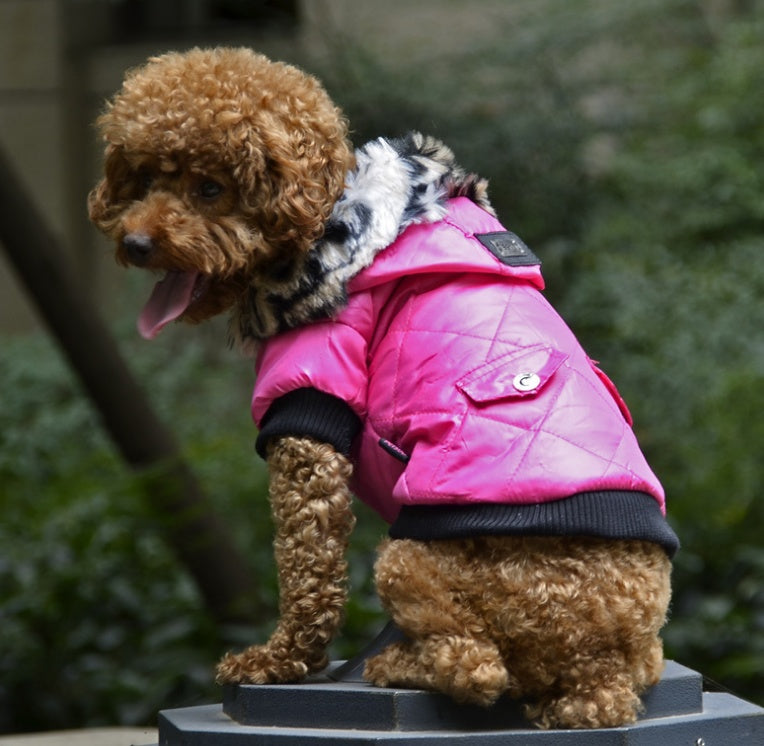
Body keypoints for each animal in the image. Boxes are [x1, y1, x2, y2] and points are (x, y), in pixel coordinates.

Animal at [86, 46, 676, 728]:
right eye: (144, 179)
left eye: (211, 188)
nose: (135, 243)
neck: (333, 228)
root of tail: (600, 675)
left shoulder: (311, 414)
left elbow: (308, 569)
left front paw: (278, 662)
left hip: (410, 560)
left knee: (478, 668)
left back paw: (398, 665)